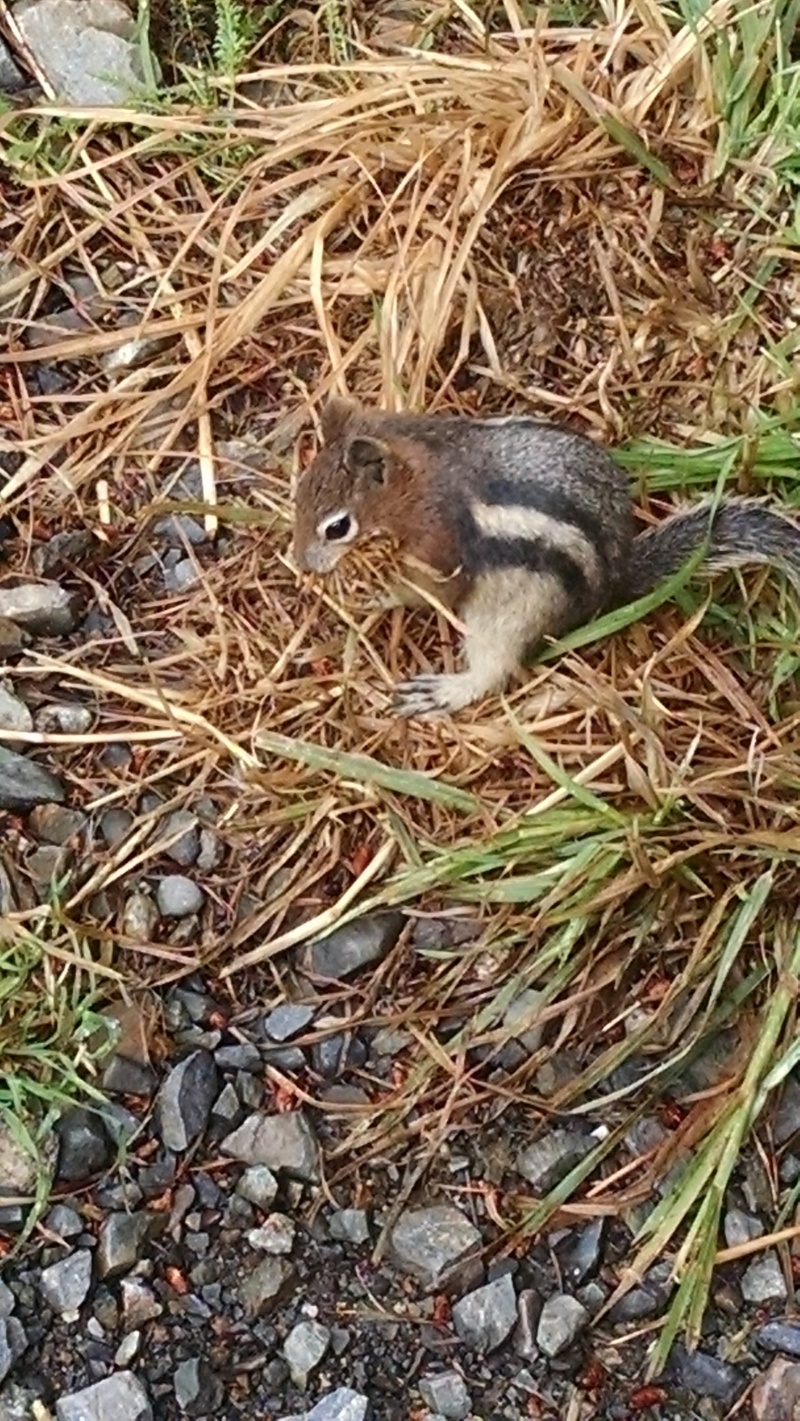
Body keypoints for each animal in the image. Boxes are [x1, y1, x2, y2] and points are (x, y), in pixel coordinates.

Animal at [291, 396, 800, 717]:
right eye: (299, 492)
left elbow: (421, 592)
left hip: (509, 613)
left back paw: (446, 692)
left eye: (337, 527)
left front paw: (376, 596)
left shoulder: (437, 552)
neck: (417, 470)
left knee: (494, 667)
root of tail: (617, 577)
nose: (302, 563)